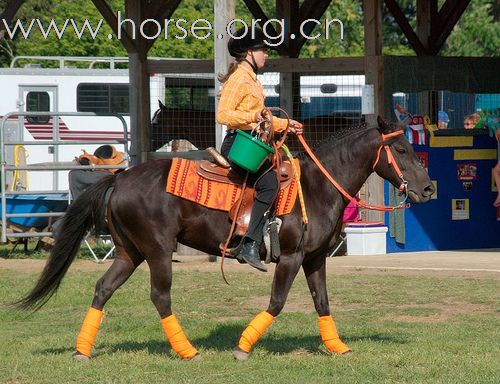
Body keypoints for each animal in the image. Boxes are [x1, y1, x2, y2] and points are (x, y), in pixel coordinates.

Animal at [16, 115, 434, 362]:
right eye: (400, 149)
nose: (429, 188)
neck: (316, 187)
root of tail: (119, 178)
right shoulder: (291, 257)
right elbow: (277, 302)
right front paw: (243, 347)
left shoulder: (315, 259)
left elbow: (323, 303)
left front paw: (337, 347)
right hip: (157, 252)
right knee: (160, 296)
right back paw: (187, 351)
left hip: (128, 253)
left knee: (103, 289)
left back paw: (82, 351)